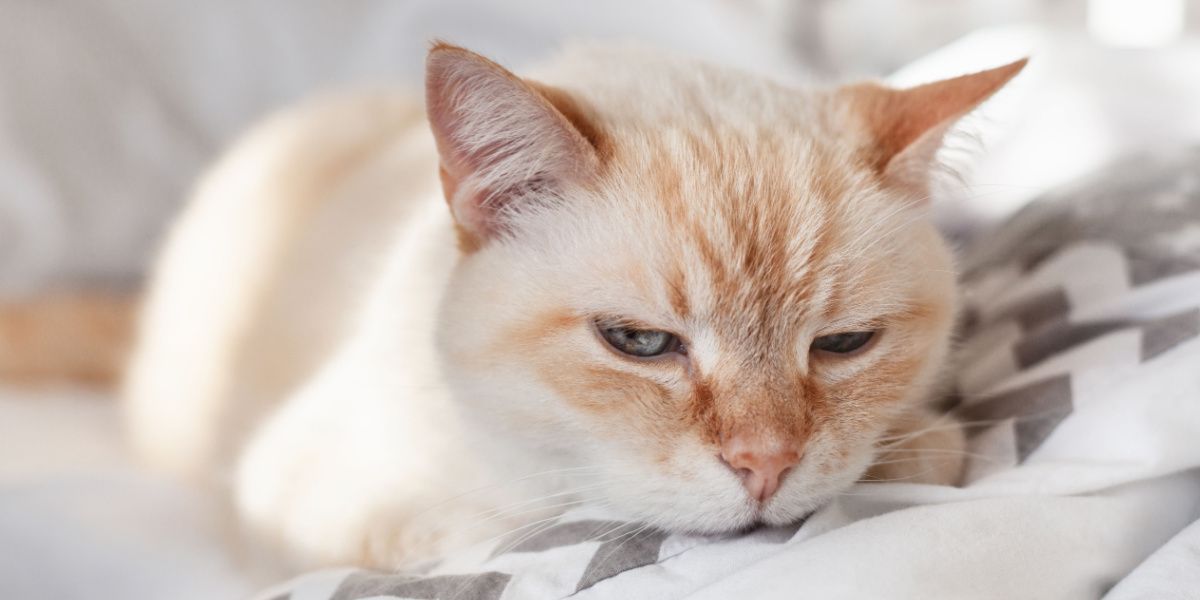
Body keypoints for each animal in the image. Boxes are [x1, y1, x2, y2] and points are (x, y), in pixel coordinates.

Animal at [119, 43, 1022, 571]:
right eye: (639, 342)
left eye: (843, 344)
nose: (764, 466)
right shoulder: (311, 499)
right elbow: (504, 526)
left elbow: (924, 452)